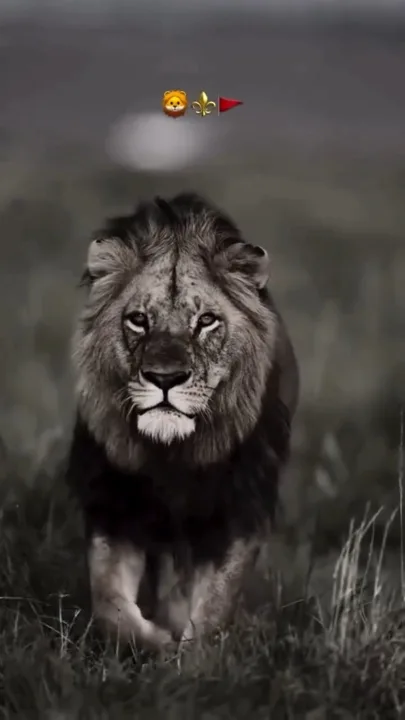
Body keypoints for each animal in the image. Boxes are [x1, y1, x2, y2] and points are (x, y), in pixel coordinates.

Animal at [66, 192, 299, 653]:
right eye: (139, 319)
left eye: (206, 321)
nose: (165, 378)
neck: (171, 454)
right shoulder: (113, 503)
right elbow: (109, 605)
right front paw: (155, 642)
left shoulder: (239, 508)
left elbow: (216, 605)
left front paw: (194, 659)